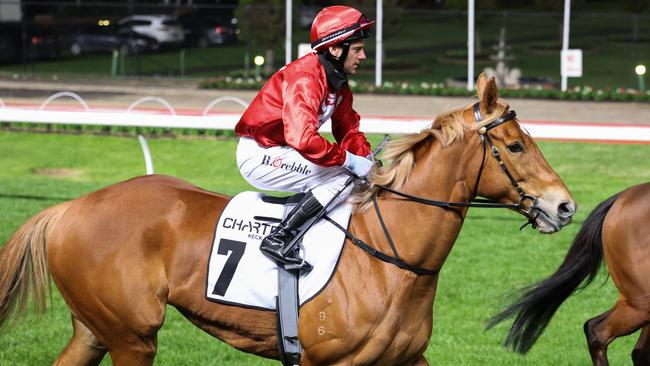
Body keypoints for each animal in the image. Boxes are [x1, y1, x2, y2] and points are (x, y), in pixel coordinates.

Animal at [0, 75, 572, 366]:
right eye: (516, 145)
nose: (564, 205)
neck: (392, 261)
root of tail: (69, 207)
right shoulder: (327, 364)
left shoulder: (404, 361)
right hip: (132, 338)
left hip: (96, 330)